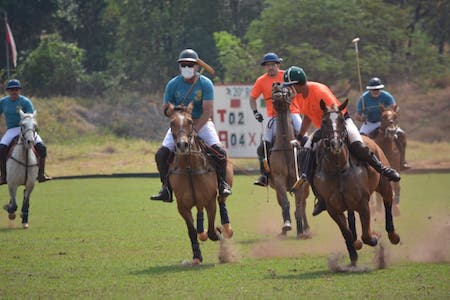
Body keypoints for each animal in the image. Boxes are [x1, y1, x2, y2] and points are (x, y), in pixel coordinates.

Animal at [167, 103, 234, 264]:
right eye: (172, 123)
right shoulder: (182, 206)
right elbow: (192, 231)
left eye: (190, 121)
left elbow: (211, 232)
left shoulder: (210, 201)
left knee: (222, 200)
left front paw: (219, 232)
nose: (182, 145)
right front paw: (197, 256)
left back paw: (226, 228)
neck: (190, 168)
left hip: (223, 186)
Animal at [268, 82, 310, 239]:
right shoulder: (279, 178)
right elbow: (285, 203)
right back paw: (284, 230)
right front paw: (287, 225)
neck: (286, 147)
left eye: (287, 88)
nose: (276, 85)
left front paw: (301, 230)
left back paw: (306, 228)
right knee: (283, 203)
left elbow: (299, 206)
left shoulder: (300, 182)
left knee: (303, 204)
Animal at [312, 99, 400, 266]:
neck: (338, 168)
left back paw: (393, 235)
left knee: (388, 201)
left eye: (341, 120)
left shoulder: (362, 203)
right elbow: (346, 233)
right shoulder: (333, 208)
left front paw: (374, 237)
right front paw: (353, 254)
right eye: (324, 121)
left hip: (384, 184)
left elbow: (366, 235)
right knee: (351, 220)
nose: (335, 144)